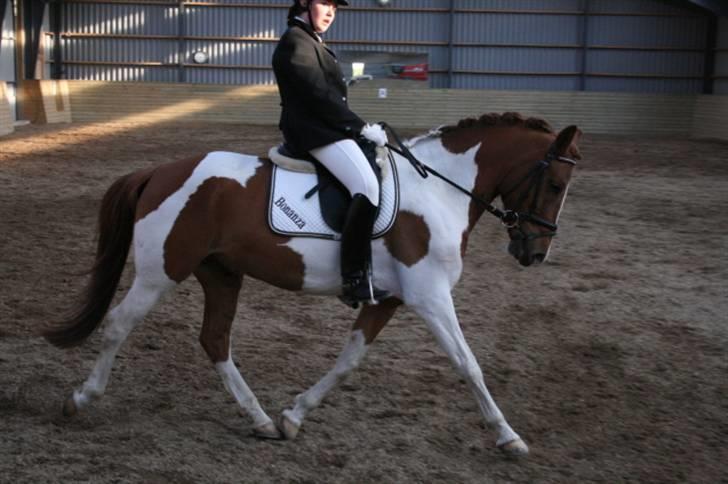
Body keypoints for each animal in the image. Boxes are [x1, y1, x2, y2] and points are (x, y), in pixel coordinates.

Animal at [44, 111, 580, 456]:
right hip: (162, 271)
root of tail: (159, 171)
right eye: (555, 185)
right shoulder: (430, 297)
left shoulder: (387, 299)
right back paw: (79, 400)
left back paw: (260, 419)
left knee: (215, 339)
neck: (438, 190)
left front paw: (293, 417)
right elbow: (468, 364)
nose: (535, 253)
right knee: (119, 324)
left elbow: (348, 361)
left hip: (221, 274)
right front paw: (508, 437)